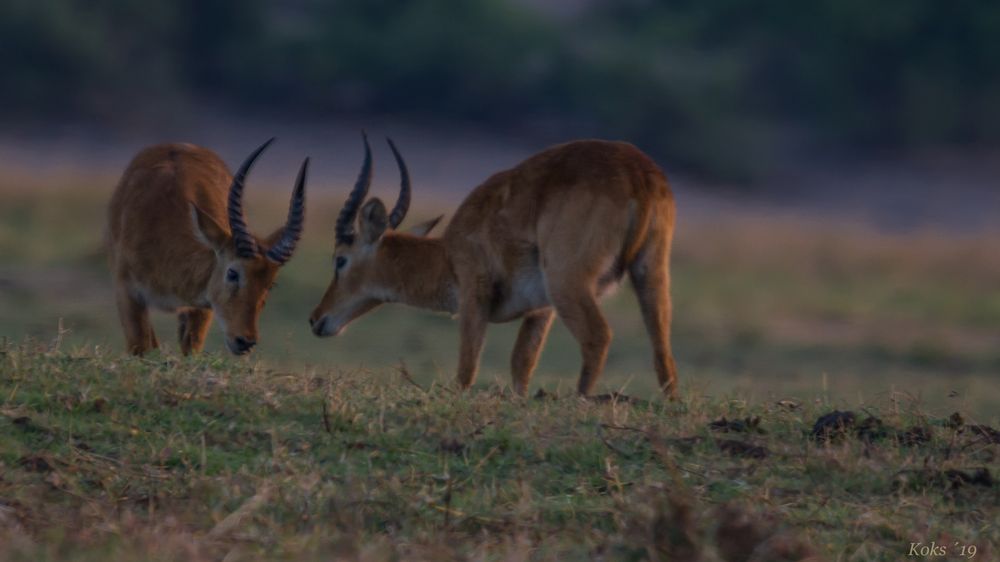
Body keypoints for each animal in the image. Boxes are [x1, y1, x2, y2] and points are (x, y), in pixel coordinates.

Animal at [105, 137, 308, 352]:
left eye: (271, 284)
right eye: (232, 272)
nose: (245, 341)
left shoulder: (204, 305)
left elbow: (191, 350)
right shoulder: (126, 292)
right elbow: (141, 346)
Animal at [308, 136, 676, 396]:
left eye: (340, 259)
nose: (316, 319)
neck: (447, 253)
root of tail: (639, 173)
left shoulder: (474, 294)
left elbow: (466, 370)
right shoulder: (540, 309)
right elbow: (521, 365)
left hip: (567, 283)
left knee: (598, 336)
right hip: (650, 274)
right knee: (663, 353)